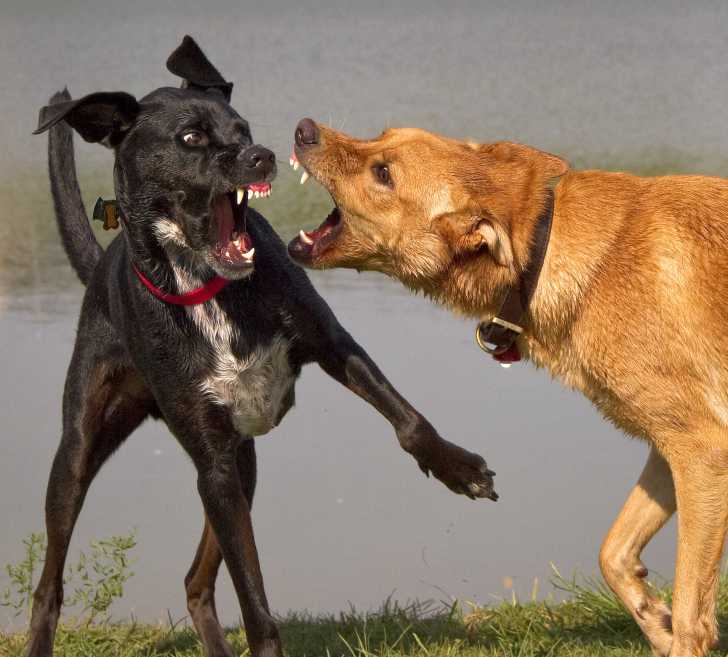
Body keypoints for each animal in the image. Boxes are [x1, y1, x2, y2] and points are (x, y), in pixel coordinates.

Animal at [27, 38, 494, 656]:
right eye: (191, 138)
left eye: (242, 127)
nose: (263, 156)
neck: (207, 287)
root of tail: (101, 267)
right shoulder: (213, 460)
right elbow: (254, 598)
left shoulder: (330, 343)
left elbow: (408, 421)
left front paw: (458, 469)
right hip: (83, 448)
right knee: (49, 581)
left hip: (243, 465)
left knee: (195, 582)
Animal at [286, 118, 728, 656]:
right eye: (384, 134)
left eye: (384, 173)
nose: (304, 128)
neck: (548, 248)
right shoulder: (673, 447)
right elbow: (614, 553)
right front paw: (653, 619)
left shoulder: (702, 449)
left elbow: (690, 612)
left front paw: (674, 629)